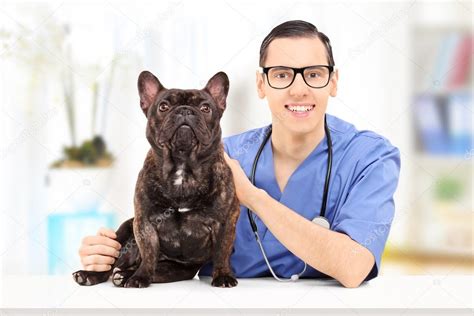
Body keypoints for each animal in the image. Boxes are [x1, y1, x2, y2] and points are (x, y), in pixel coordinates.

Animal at [73, 70, 241, 288]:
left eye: (205, 108)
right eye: (164, 106)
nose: (185, 111)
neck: (182, 165)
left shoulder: (224, 222)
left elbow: (222, 251)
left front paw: (223, 276)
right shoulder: (145, 222)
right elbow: (149, 252)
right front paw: (140, 278)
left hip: (176, 270)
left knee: (155, 270)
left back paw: (125, 275)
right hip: (123, 232)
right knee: (112, 263)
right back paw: (93, 274)